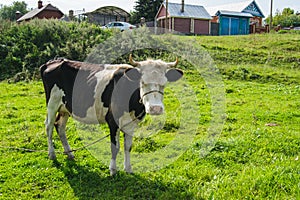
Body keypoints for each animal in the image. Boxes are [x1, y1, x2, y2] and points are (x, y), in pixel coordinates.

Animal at [39, 54, 183, 175]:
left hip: (65, 108)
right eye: (142, 82)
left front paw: (128, 169)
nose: (155, 109)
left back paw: (69, 153)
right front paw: (113, 170)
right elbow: (115, 147)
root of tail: (54, 61)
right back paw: (52, 154)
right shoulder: (113, 121)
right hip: (52, 103)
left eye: (164, 83)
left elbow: (128, 146)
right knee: (49, 126)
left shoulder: (132, 123)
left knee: (60, 126)